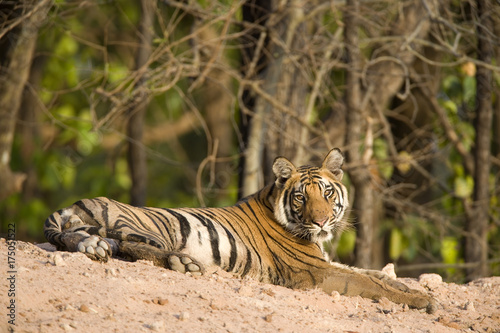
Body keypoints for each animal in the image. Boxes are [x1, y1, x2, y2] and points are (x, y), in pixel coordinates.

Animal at [45, 148, 436, 312]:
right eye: (301, 197)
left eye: (326, 193)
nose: (322, 221)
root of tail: (73, 204)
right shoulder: (315, 273)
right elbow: (369, 282)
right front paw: (422, 301)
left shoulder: (327, 263)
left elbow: (374, 274)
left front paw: (415, 289)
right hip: (142, 224)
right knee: (133, 247)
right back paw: (185, 264)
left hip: (90, 227)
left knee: (81, 239)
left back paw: (93, 247)